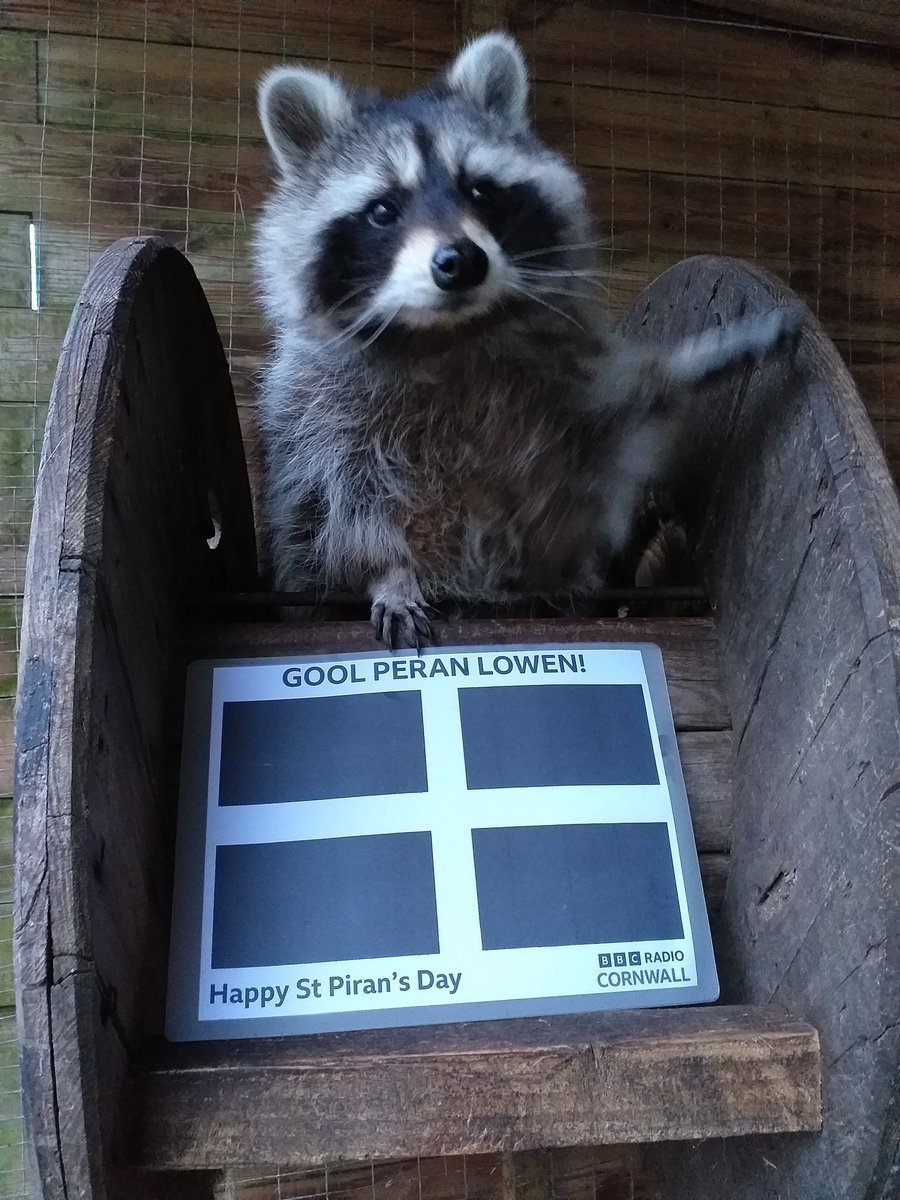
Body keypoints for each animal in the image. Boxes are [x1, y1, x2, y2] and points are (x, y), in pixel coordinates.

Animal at [254, 32, 797, 647]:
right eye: (384, 209)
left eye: (480, 191)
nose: (461, 261)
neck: (451, 334)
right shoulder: (322, 415)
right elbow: (349, 509)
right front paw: (390, 574)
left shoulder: (566, 396)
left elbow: (626, 411)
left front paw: (701, 355)